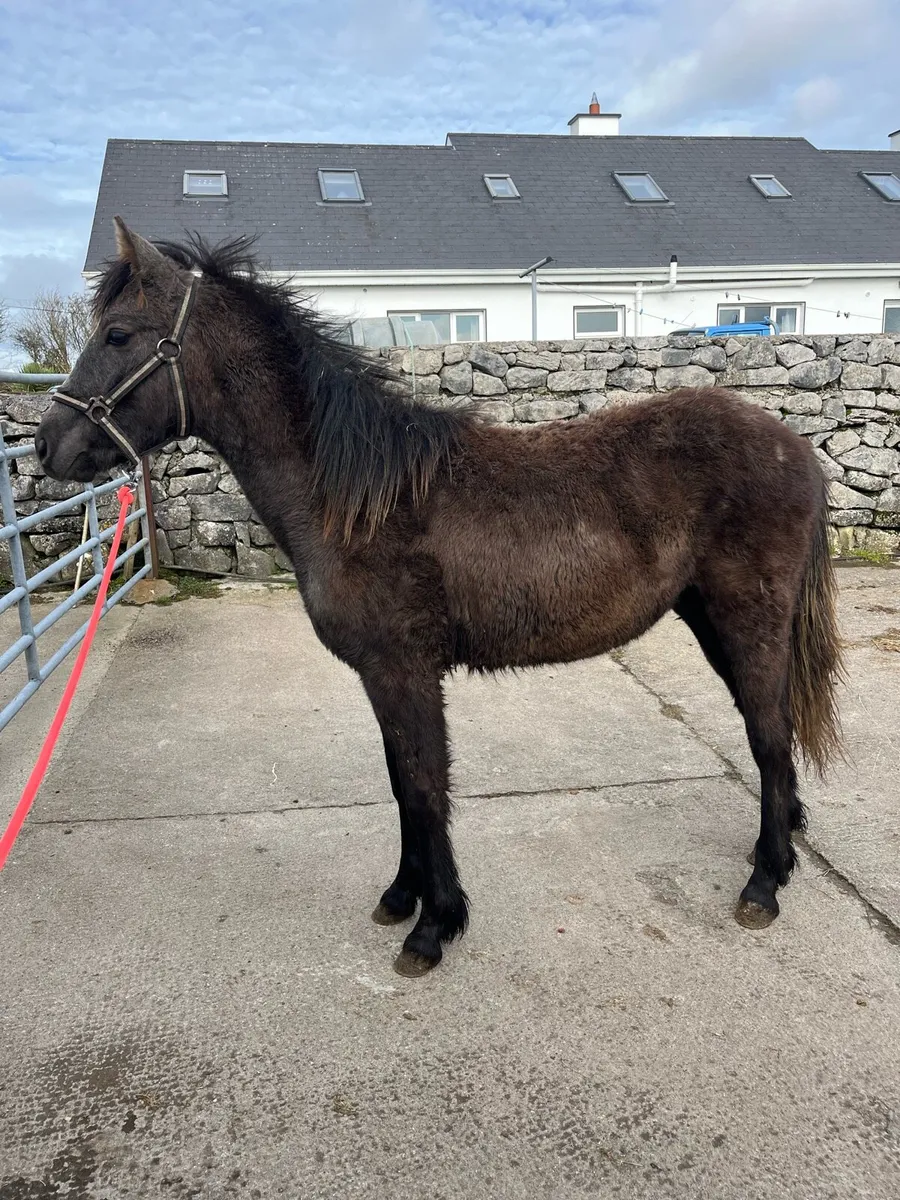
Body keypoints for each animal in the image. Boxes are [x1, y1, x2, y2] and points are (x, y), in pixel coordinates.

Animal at [36, 218, 844, 977]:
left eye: (118, 333)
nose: (48, 445)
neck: (356, 495)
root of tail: (796, 447)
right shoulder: (382, 677)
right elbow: (401, 784)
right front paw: (402, 897)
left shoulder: (405, 670)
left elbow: (425, 787)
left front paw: (435, 926)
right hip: (711, 619)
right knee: (768, 732)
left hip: (747, 619)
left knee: (769, 736)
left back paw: (764, 884)